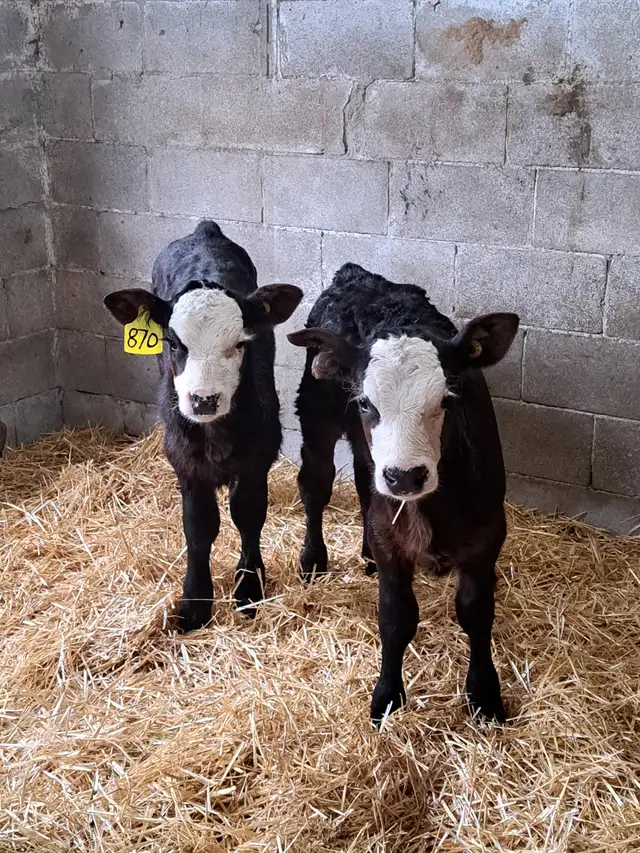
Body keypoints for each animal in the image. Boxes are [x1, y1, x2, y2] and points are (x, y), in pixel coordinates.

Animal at [104, 220, 302, 631]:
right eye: (173, 343)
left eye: (241, 343)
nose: (204, 399)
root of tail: (204, 230)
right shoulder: (183, 459)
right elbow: (199, 525)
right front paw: (195, 602)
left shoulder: (258, 455)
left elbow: (248, 514)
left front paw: (249, 589)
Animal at [288, 263, 519, 725]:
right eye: (365, 404)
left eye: (448, 398)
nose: (404, 476)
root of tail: (354, 274)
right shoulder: (391, 539)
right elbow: (396, 618)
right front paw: (387, 697)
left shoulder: (486, 535)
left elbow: (476, 613)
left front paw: (485, 696)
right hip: (317, 420)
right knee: (316, 484)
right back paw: (313, 558)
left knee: (363, 479)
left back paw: (363, 552)